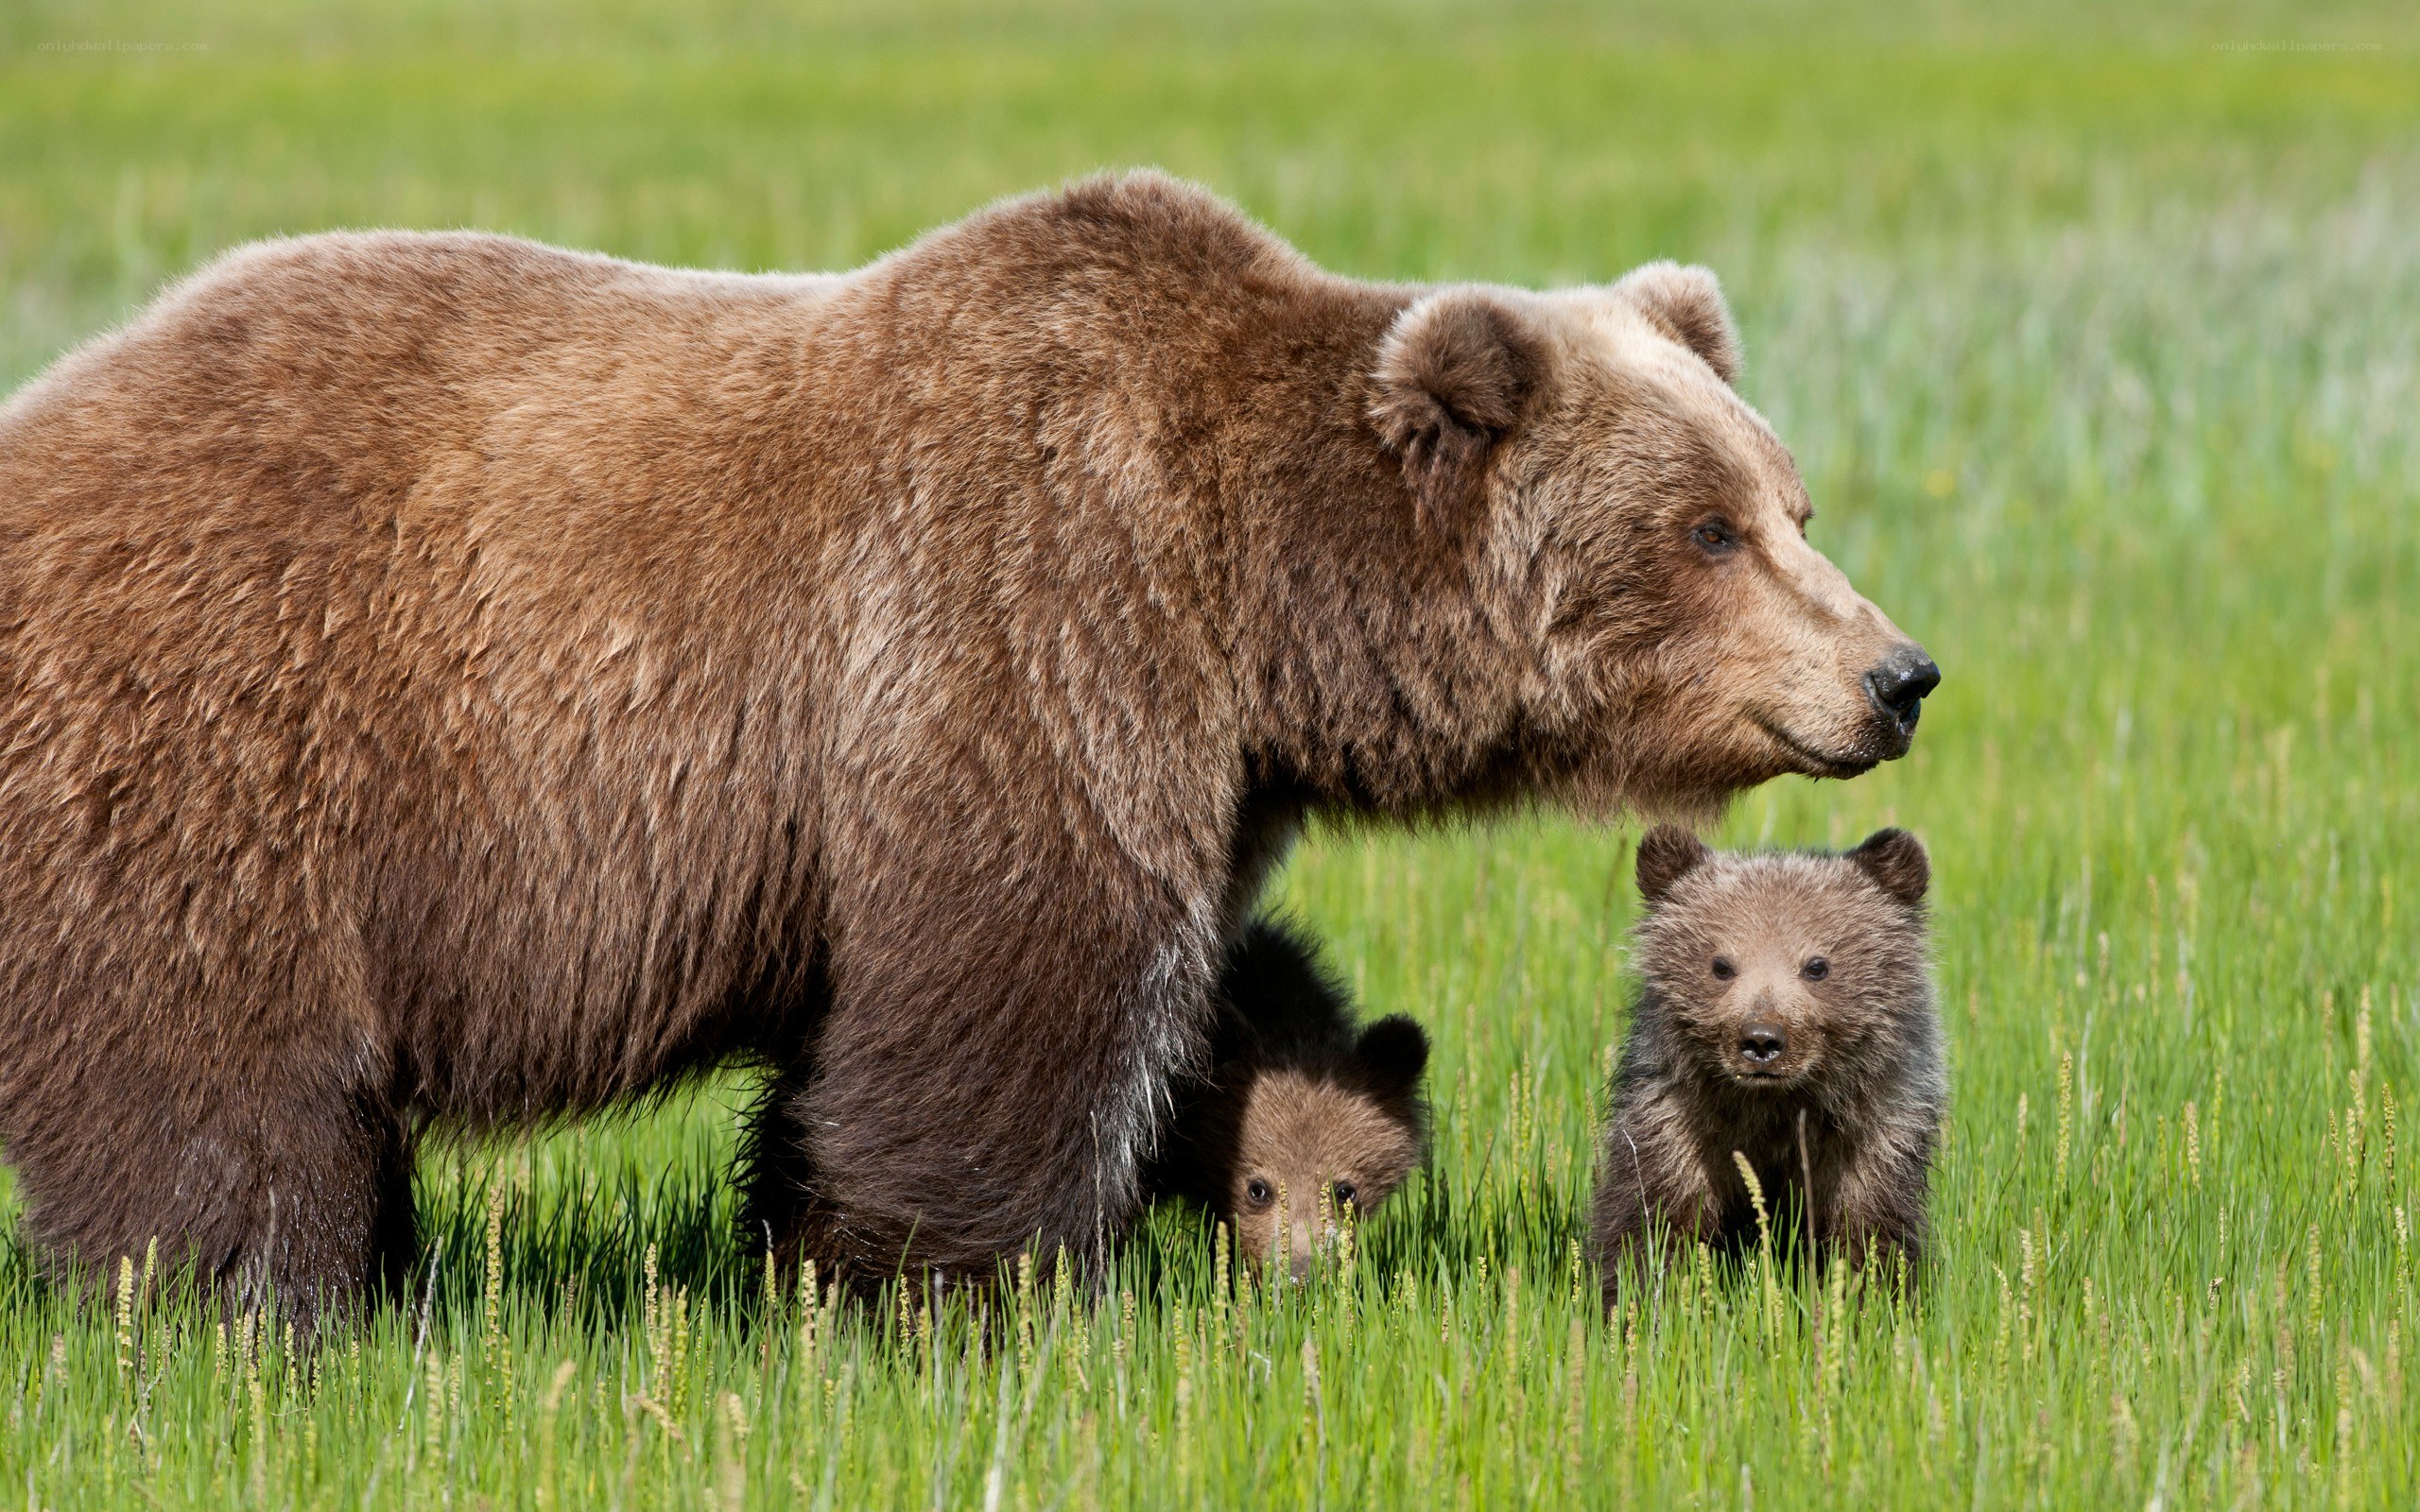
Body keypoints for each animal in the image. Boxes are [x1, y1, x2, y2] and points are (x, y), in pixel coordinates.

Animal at [1590, 825, 1943, 1302]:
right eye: (1721, 964)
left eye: (1817, 965)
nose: (1761, 1040)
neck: (1773, 1108)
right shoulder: (1677, 1123)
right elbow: (1652, 1223)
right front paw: (1637, 1299)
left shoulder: (1874, 1131)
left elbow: (1869, 1233)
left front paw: (1867, 1298)